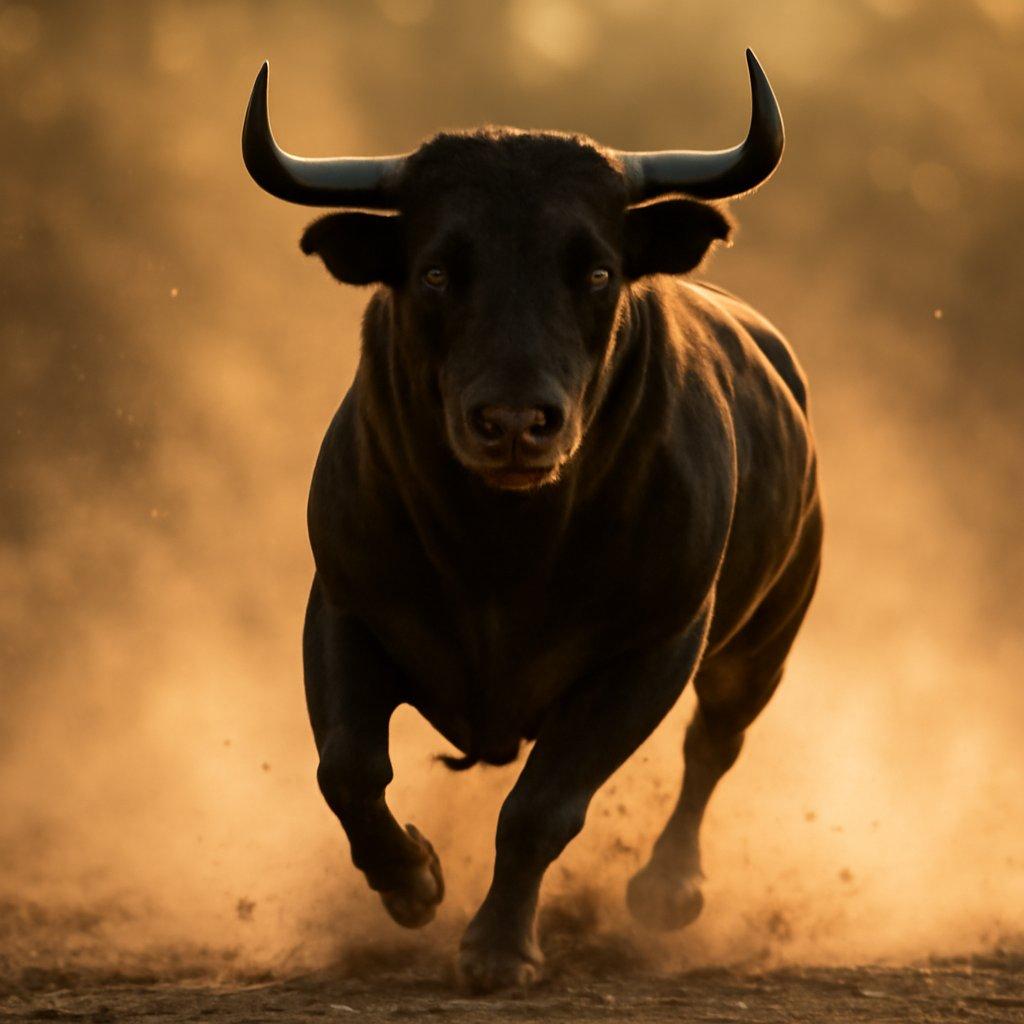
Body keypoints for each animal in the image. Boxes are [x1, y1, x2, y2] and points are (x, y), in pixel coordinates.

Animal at [242, 50, 822, 993]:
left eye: (595, 272)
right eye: (437, 271)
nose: (515, 423)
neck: (500, 552)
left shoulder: (652, 648)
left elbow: (542, 808)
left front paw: (498, 949)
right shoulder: (346, 609)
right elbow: (350, 768)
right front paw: (415, 881)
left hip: (762, 641)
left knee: (713, 745)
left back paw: (668, 891)